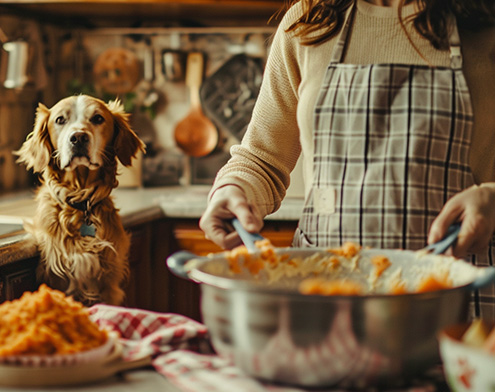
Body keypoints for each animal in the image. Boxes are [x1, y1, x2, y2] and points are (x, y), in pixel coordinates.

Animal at [15, 95, 145, 306]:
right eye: (60, 120)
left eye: (98, 118)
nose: (78, 137)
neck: (79, 201)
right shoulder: (57, 279)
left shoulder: (109, 282)